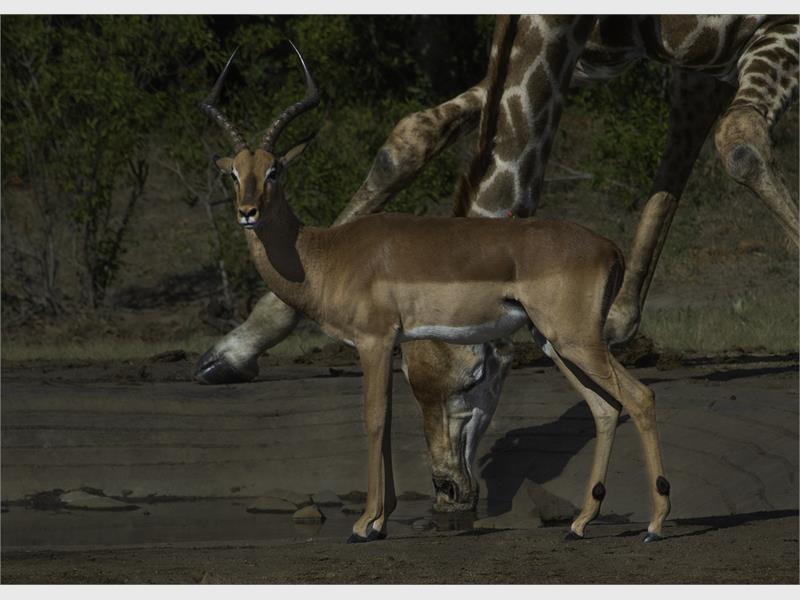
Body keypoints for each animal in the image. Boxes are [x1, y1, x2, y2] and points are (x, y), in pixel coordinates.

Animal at [196, 16, 799, 533]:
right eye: (233, 173)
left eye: (276, 169)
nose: (448, 490)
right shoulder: (600, 59)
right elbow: (410, 137)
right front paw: (230, 353)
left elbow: (373, 420)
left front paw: (369, 523)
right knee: (608, 403)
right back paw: (586, 512)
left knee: (639, 394)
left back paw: (650, 518)